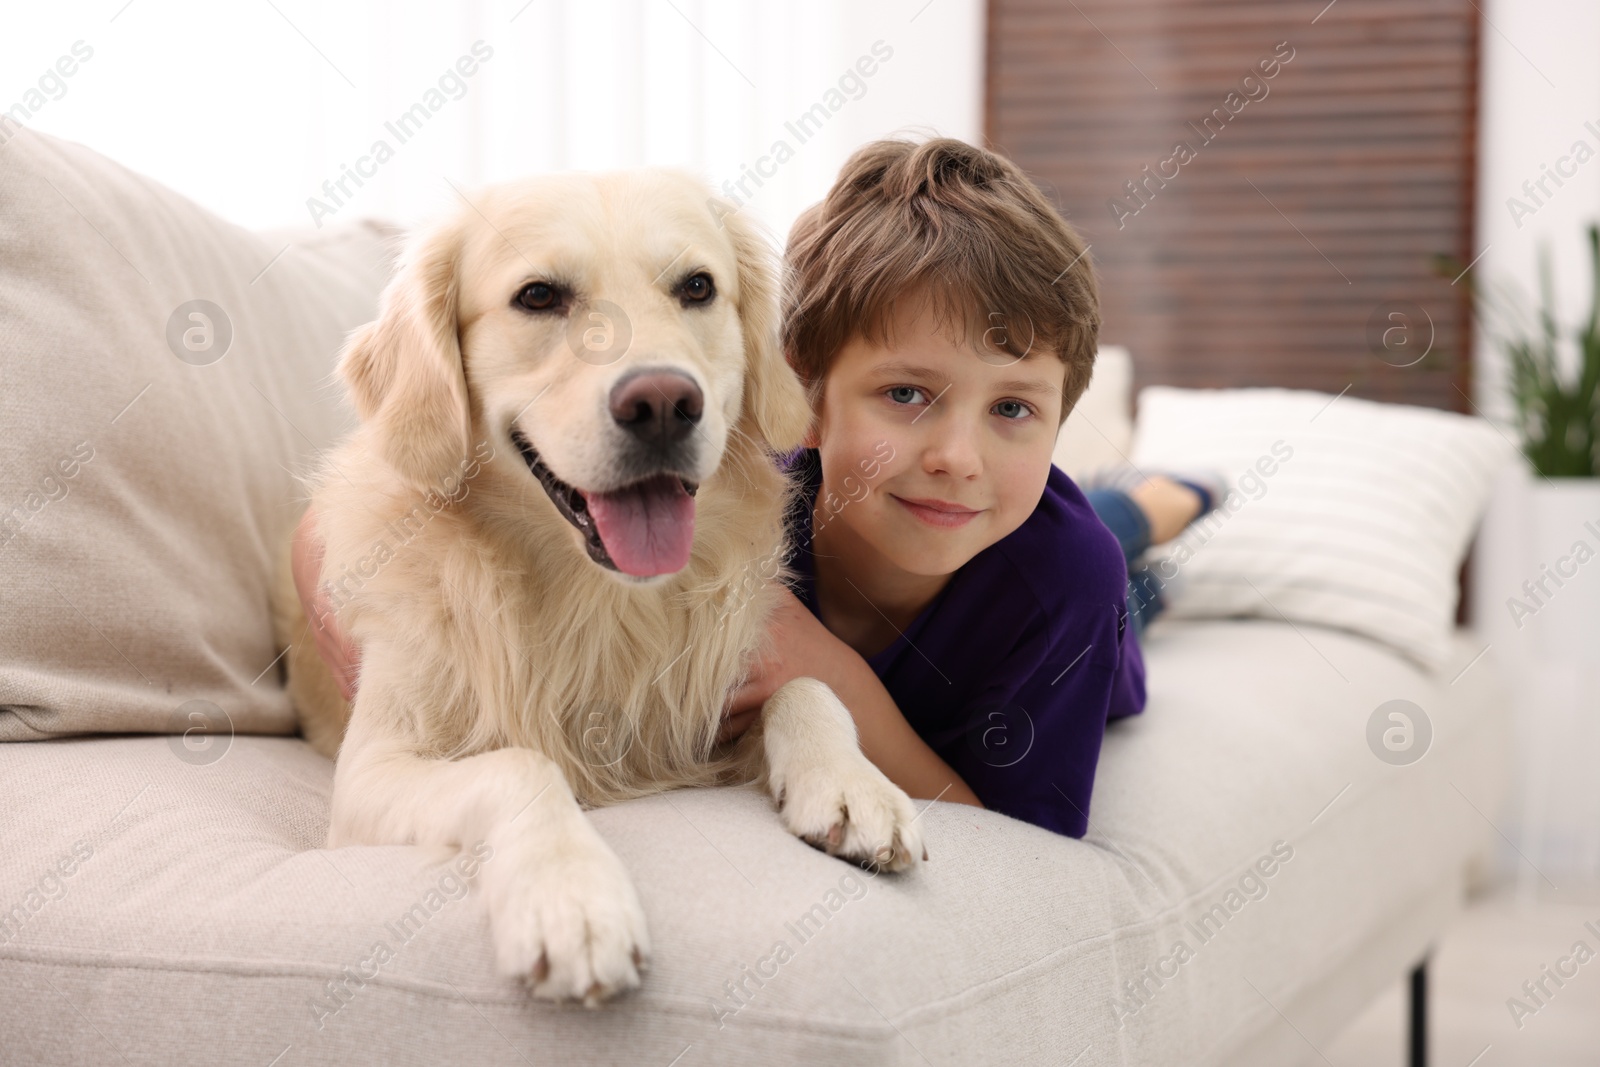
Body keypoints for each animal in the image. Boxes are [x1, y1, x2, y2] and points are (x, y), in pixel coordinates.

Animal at [272, 168, 928, 1011]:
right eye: (538, 296)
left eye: (697, 287)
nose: (663, 404)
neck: (596, 597)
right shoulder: (368, 774)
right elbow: (521, 765)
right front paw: (572, 900)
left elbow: (808, 686)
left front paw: (851, 783)